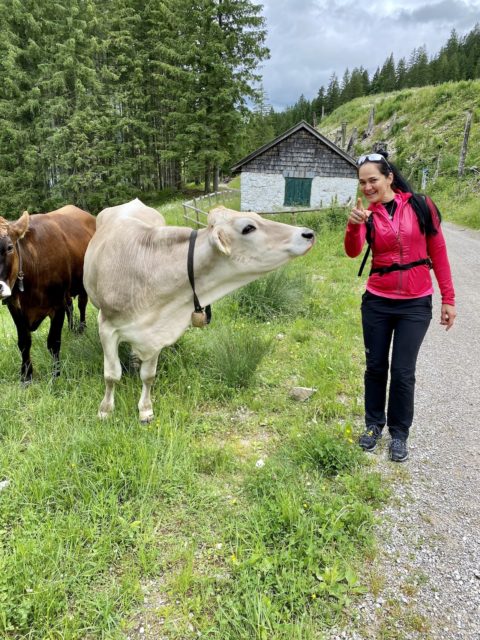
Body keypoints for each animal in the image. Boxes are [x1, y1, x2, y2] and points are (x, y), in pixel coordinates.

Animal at [0, 208, 96, 382]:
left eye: (9, 247)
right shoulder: (14, 306)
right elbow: (24, 342)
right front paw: (26, 377)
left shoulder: (57, 305)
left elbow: (53, 342)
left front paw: (56, 375)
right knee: (71, 306)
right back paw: (71, 329)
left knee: (82, 304)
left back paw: (81, 328)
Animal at [83, 198, 316, 422]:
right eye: (248, 227)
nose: (308, 233)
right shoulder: (106, 327)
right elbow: (111, 375)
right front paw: (105, 411)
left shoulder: (158, 331)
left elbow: (148, 375)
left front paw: (145, 410)